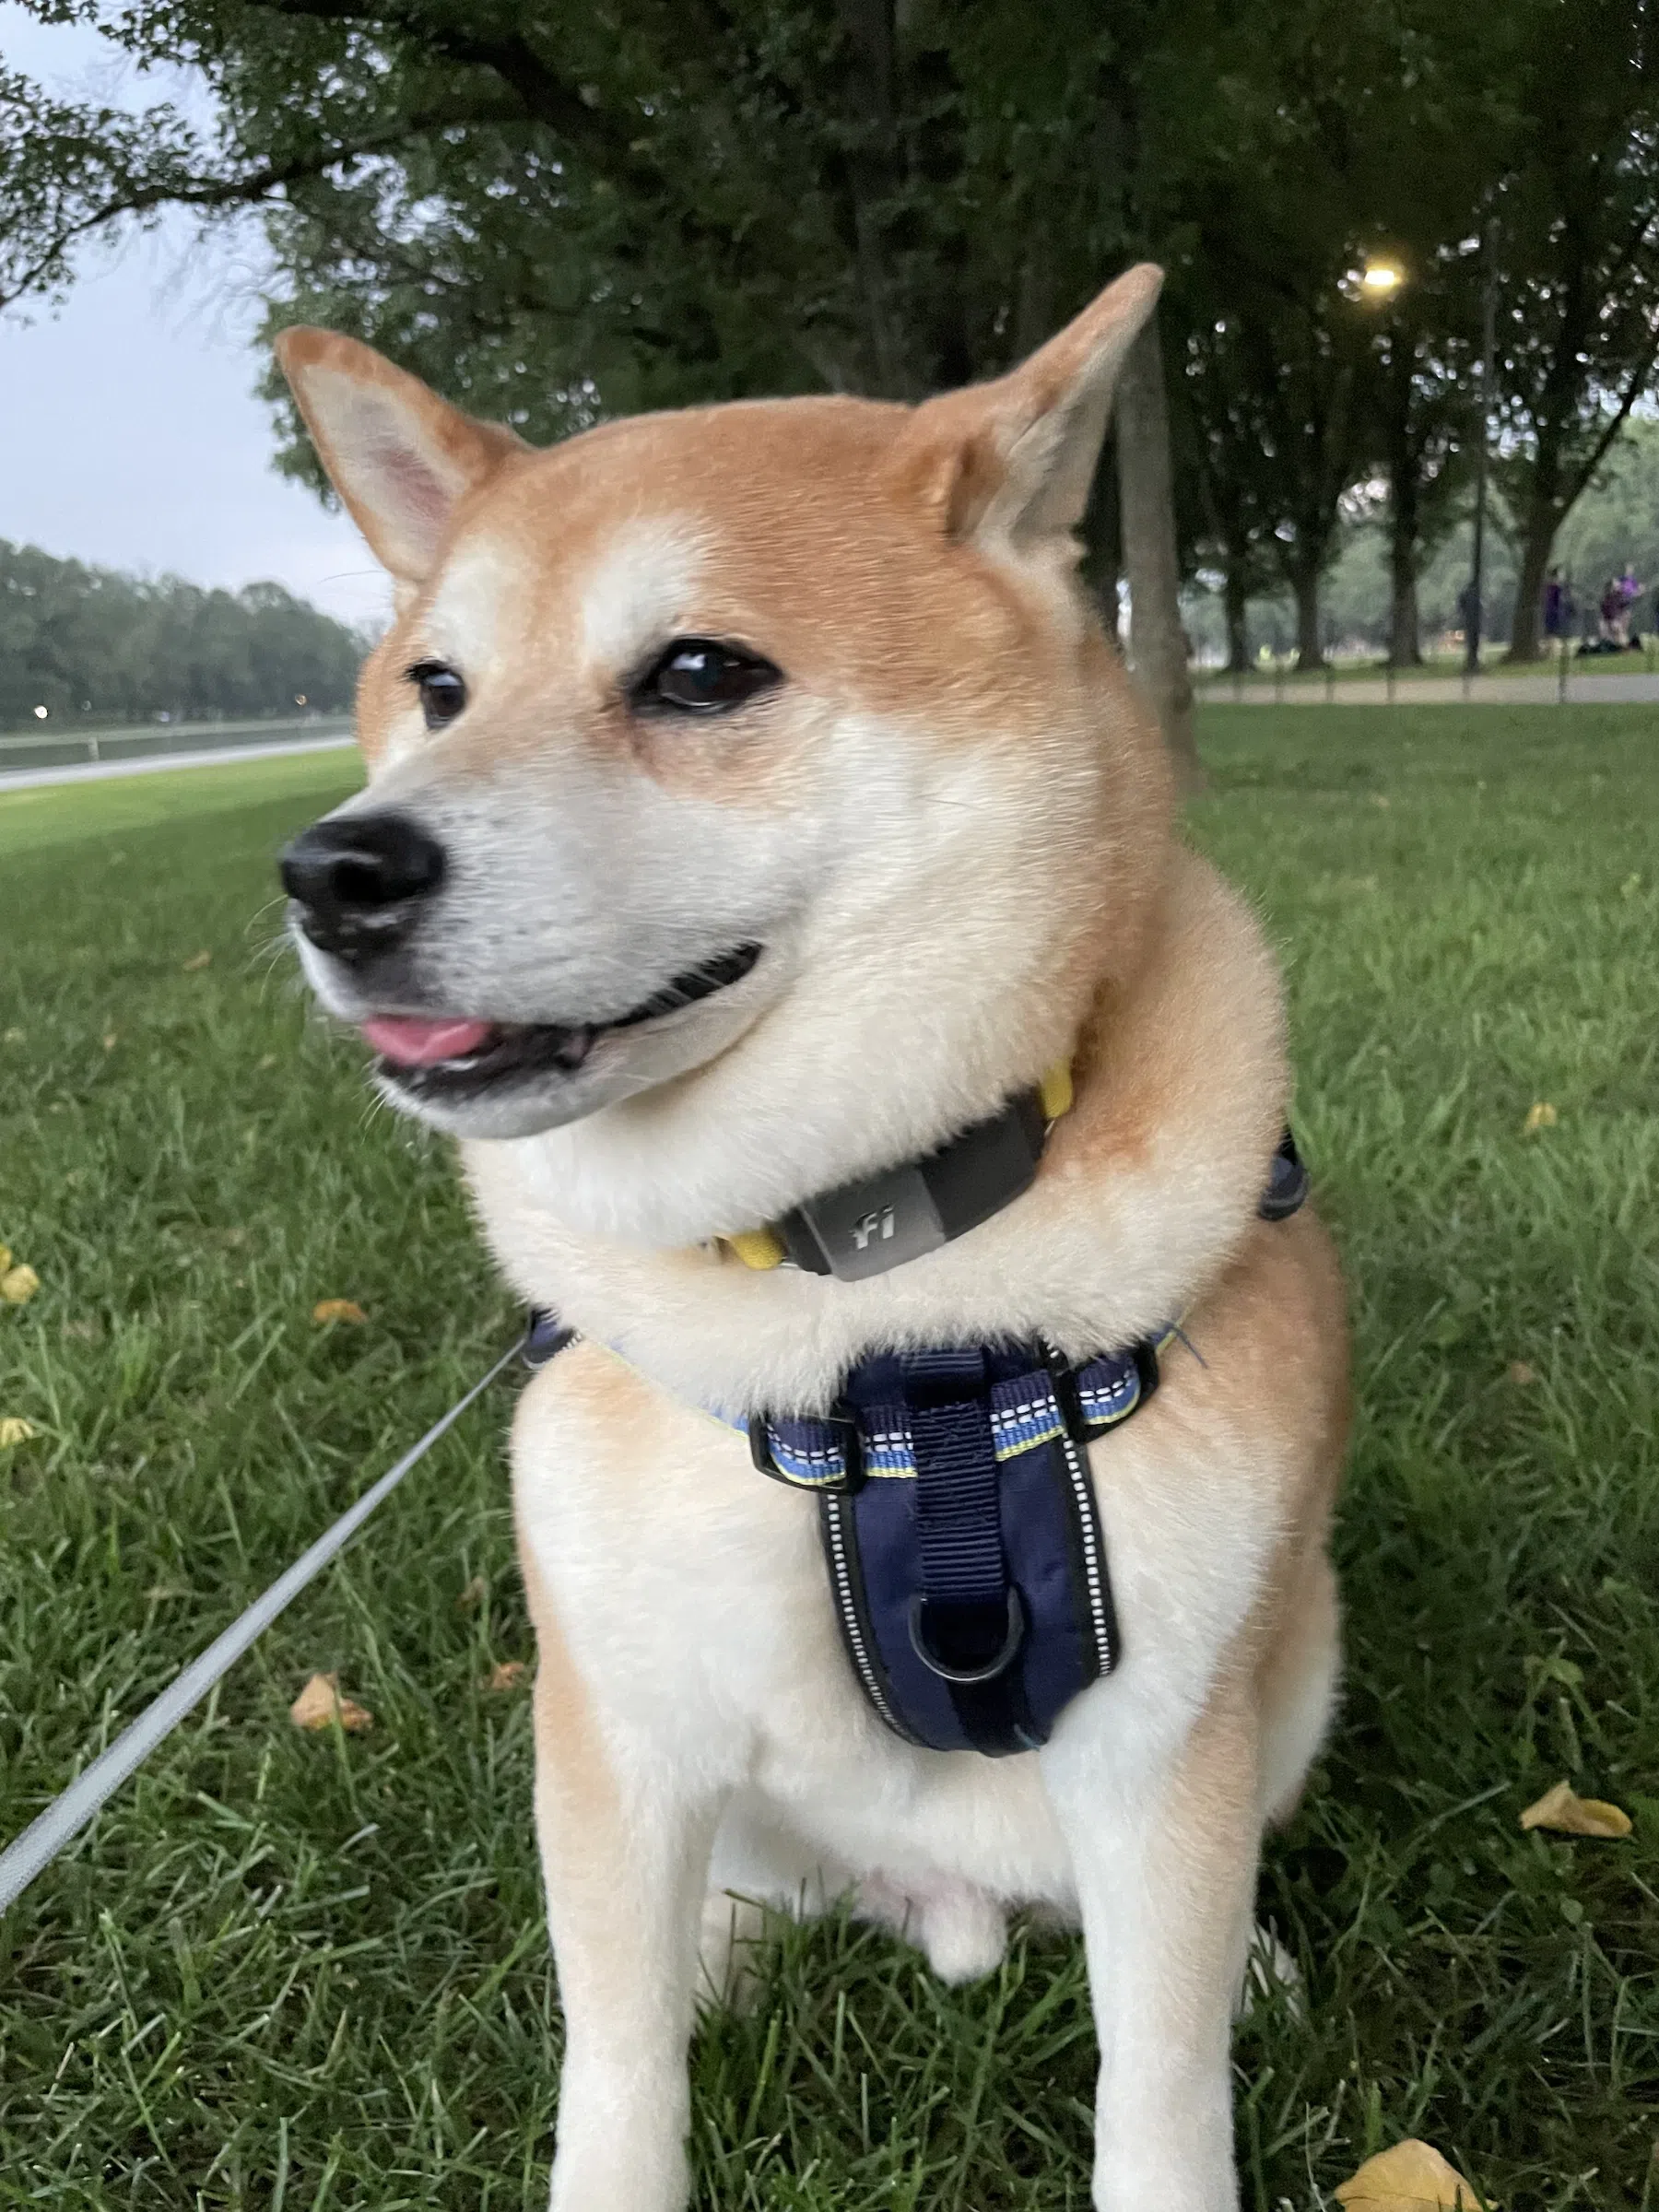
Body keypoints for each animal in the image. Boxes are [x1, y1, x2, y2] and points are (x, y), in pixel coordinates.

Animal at [279, 272, 1353, 2212]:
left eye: (700, 673)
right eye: (438, 687)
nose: (334, 872)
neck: (870, 1307)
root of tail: (942, 1908)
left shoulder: (1163, 1752)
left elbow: (1162, 2091)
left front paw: (1204, 2035)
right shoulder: (615, 1724)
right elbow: (616, 2061)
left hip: (1291, 1664)